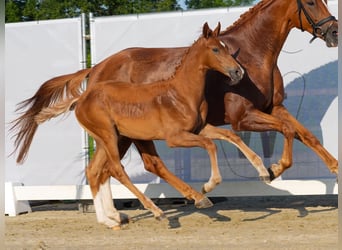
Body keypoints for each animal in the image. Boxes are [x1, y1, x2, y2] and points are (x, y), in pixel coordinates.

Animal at [36, 23, 246, 229]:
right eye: (216, 49)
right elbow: (210, 144)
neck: (180, 93)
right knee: (116, 169)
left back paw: (109, 220)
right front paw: (209, 185)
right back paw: (155, 211)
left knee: (96, 170)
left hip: (110, 139)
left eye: (227, 48)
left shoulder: (198, 129)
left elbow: (228, 137)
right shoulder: (175, 138)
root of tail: (81, 99)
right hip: (109, 136)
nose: (238, 72)